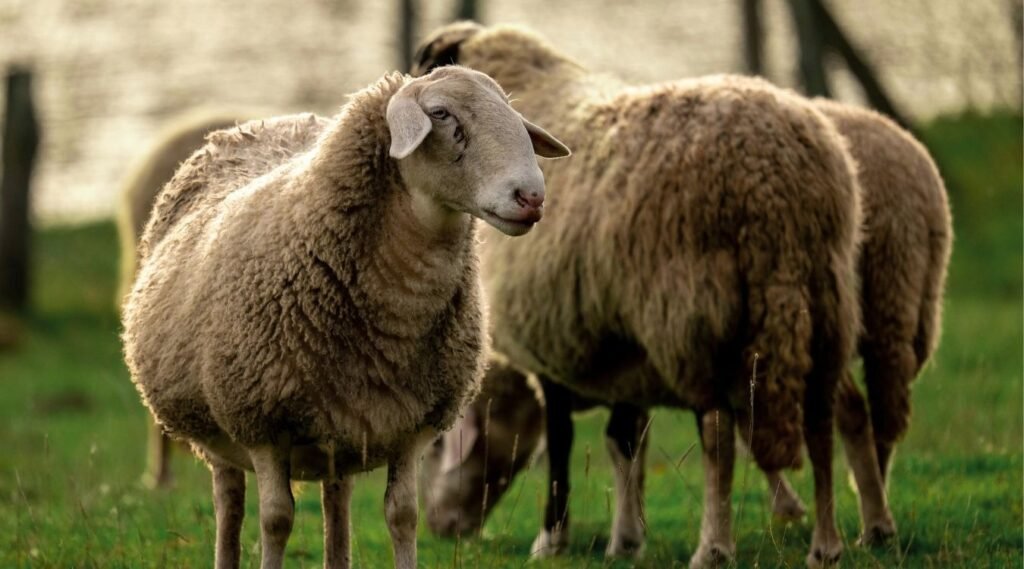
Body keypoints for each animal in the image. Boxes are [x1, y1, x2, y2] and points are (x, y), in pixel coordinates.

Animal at [412, 23, 862, 568]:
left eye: (440, 448)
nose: (441, 530)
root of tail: (778, 189)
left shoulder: (552, 340)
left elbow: (562, 441)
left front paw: (553, 537)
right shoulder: (620, 346)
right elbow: (623, 440)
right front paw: (626, 539)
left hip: (692, 315)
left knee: (718, 431)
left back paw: (714, 546)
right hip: (824, 303)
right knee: (820, 419)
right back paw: (827, 543)